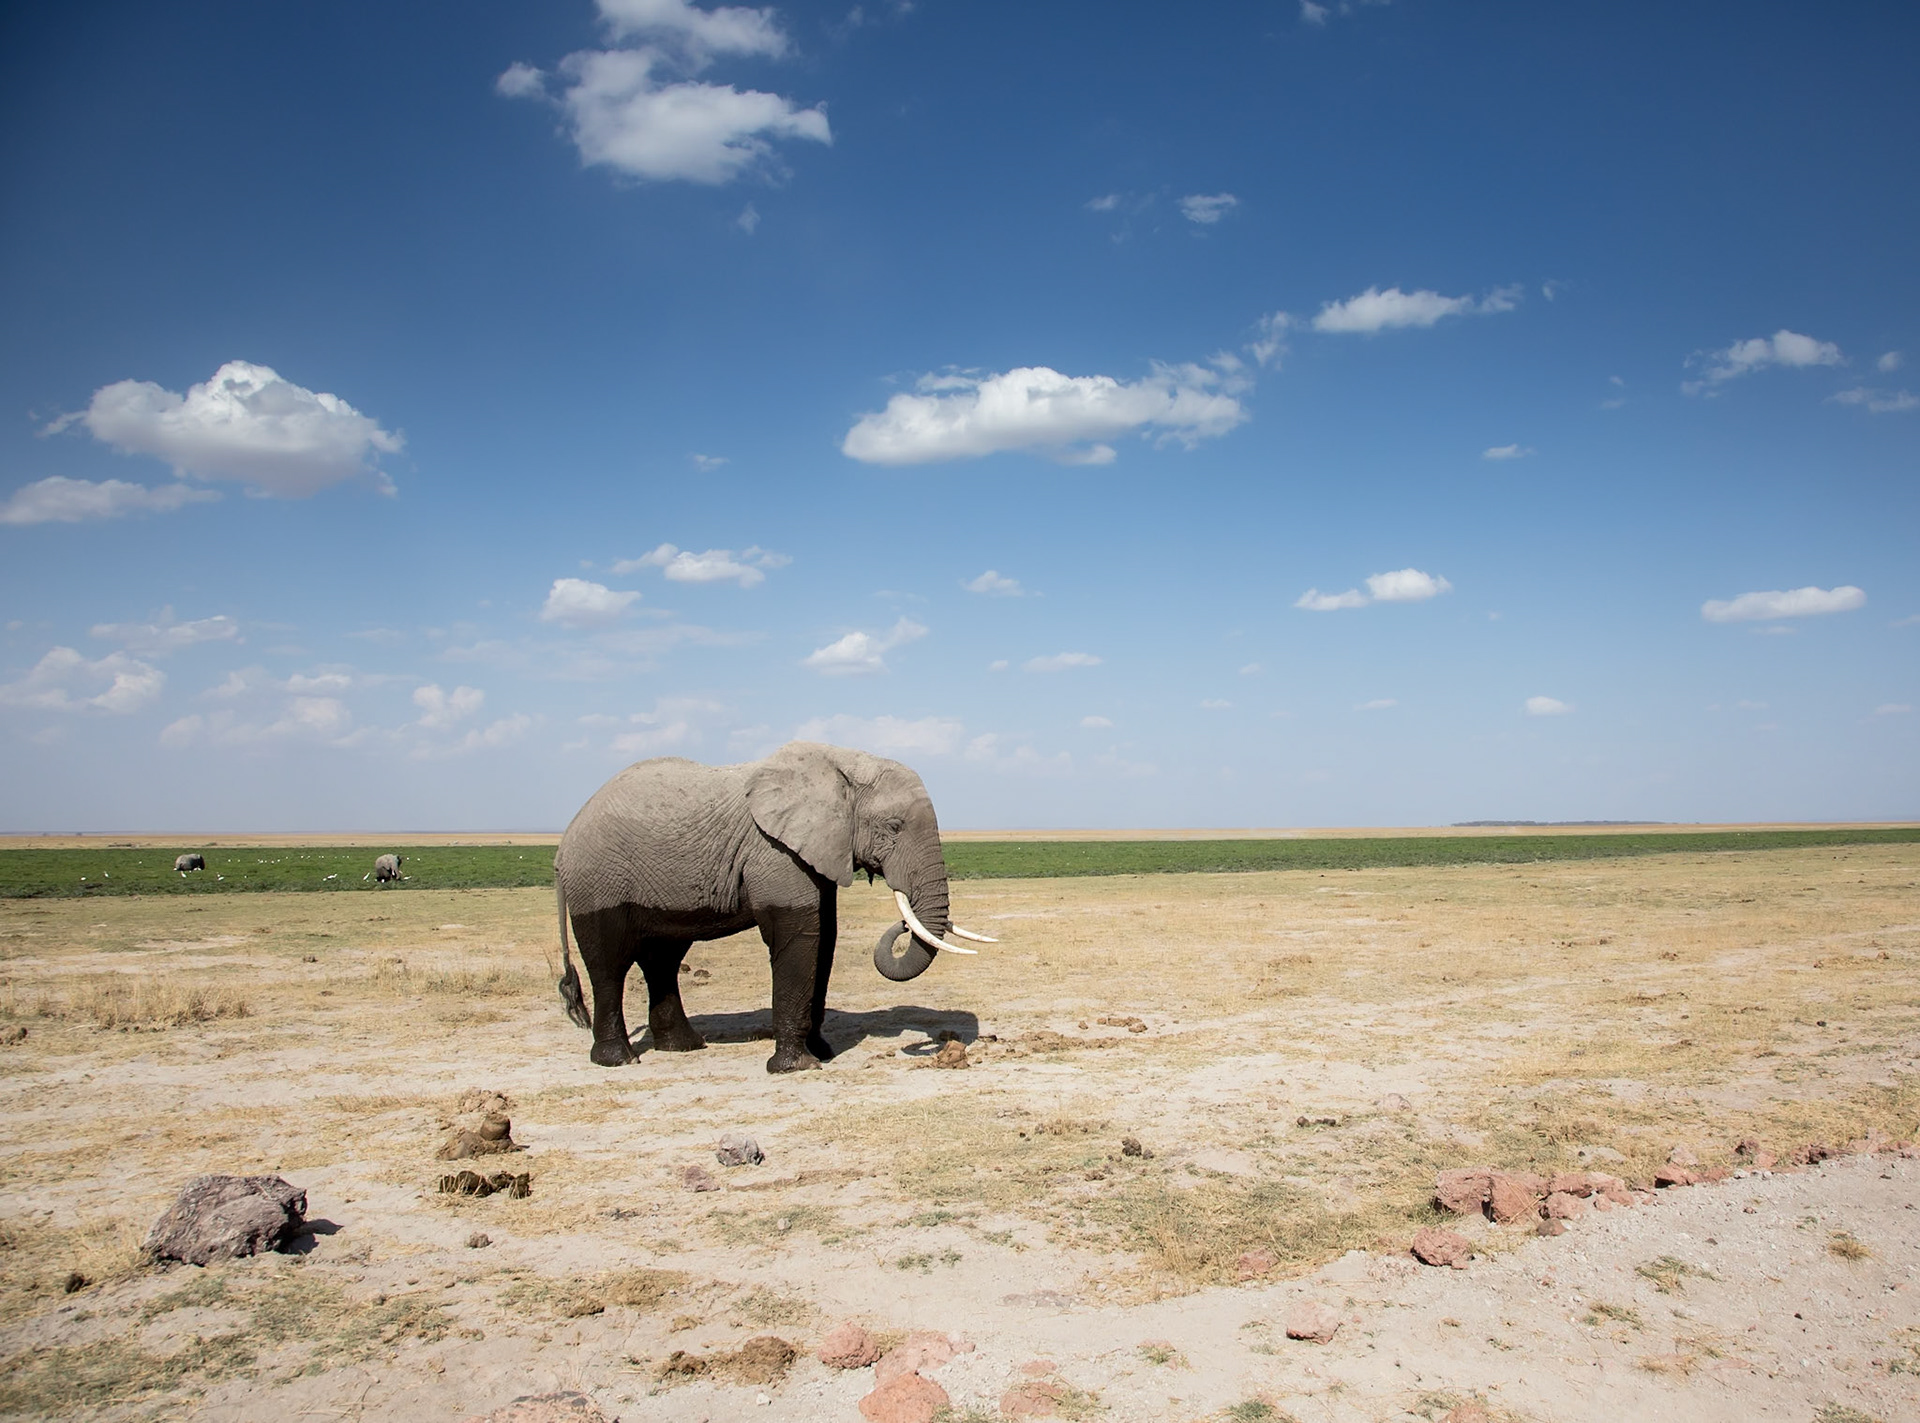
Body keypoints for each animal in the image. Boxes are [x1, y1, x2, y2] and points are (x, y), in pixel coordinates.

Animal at [554, 741, 997, 1074]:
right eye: (893, 827)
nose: (904, 924)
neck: (843, 765)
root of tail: (564, 841)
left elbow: (825, 937)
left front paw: (822, 1052)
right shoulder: (774, 851)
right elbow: (799, 935)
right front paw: (798, 1067)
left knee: (662, 959)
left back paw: (685, 1047)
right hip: (597, 881)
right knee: (609, 963)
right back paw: (619, 1060)